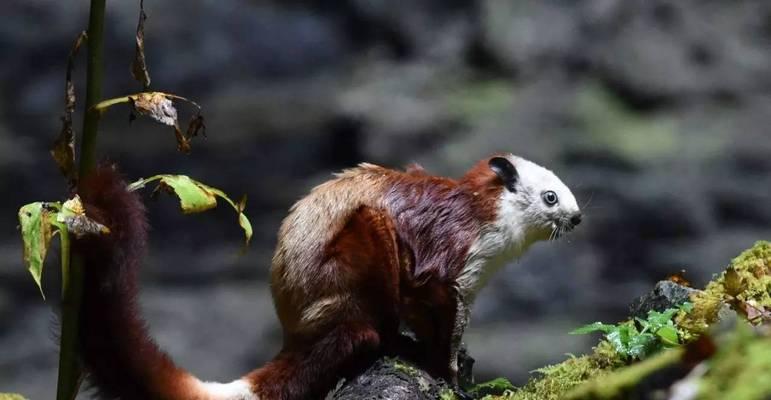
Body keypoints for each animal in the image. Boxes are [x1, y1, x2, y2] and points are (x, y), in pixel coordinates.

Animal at [75, 152, 584, 398]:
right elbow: (439, 320)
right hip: (356, 260)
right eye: (551, 197)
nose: (578, 218)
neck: (491, 214)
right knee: (369, 319)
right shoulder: (449, 261)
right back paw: (383, 339)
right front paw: (451, 378)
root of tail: (297, 332)